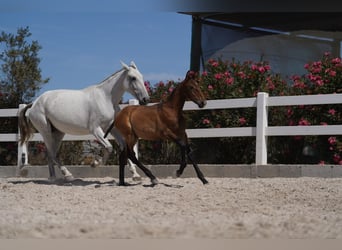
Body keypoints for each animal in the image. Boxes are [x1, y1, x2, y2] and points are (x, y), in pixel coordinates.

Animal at [18, 61, 146, 182]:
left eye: (141, 76)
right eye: (133, 78)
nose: (145, 99)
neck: (105, 98)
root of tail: (34, 104)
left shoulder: (111, 127)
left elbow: (123, 146)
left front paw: (136, 175)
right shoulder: (95, 130)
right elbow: (109, 147)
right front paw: (95, 163)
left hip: (57, 133)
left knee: (50, 154)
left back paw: (54, 178)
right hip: (46, 132)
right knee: (52, 154)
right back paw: (67, 175)